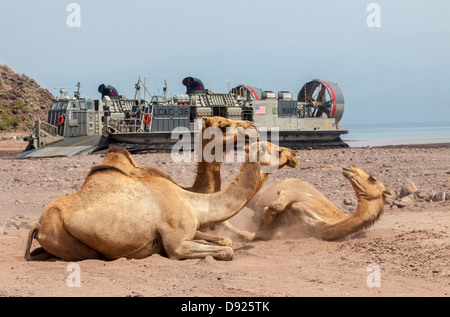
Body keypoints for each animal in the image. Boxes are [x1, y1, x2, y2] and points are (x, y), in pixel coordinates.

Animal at [24, 142, 290, 260]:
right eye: (277, 150)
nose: (294, 155)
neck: (191, 201)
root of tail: (37, 224)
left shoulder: (189, 230)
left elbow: (225, 240)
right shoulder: (176, 242)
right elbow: (227, 250)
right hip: (65, 238)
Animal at [223, 165, 392, 239]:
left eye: (372, 178)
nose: (350, 167)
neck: (321, 227)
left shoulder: (283, 232)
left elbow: (248, 234)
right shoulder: (298, 197)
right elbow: (279, 203)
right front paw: (268, 214)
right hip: (258, 194)